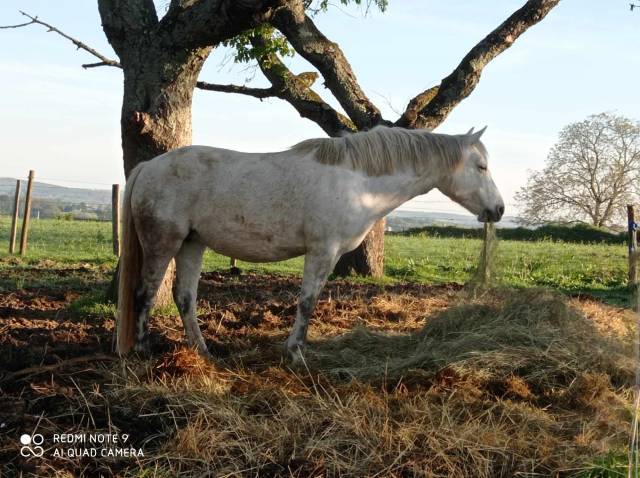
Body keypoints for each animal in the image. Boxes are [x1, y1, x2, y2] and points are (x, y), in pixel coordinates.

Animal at [116, 125, 504, 360]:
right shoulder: (322, 252)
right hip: (163, 242)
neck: (359, 182)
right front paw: (296, 352)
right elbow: (307, 302)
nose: (498, 209)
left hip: (192, 244)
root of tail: (148, 166)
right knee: (145, 294)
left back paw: (203, 352)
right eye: (482, 166)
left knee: (185, 297)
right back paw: (142, 350)